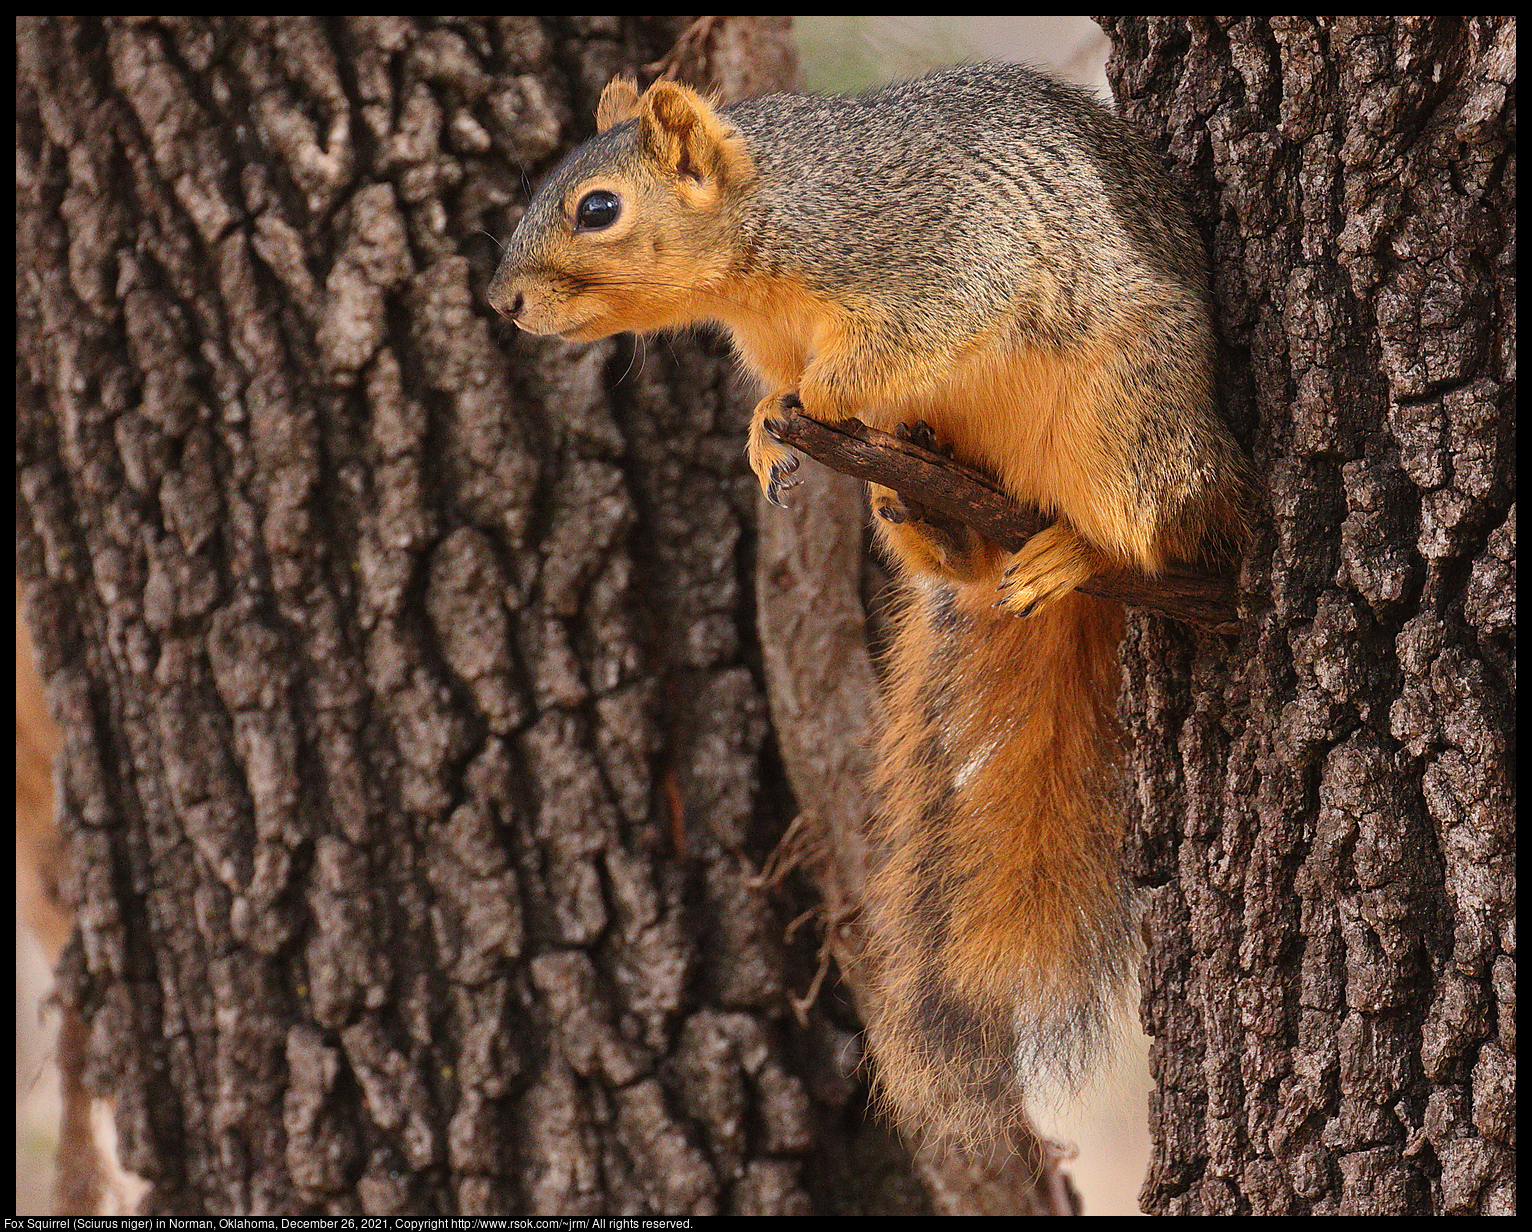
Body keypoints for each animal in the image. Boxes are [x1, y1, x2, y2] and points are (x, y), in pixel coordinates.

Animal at [493, 65, 1256, 1146]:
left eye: (596, 208)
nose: (504, 302)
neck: (766, 224)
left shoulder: (934, 255)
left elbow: (890, 343)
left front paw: (811, 399)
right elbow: (777, 395)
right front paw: (764, 431)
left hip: (1128, 414)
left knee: (1151, 529)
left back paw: (1077, 547)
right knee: (967, 547)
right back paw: (931, 524)